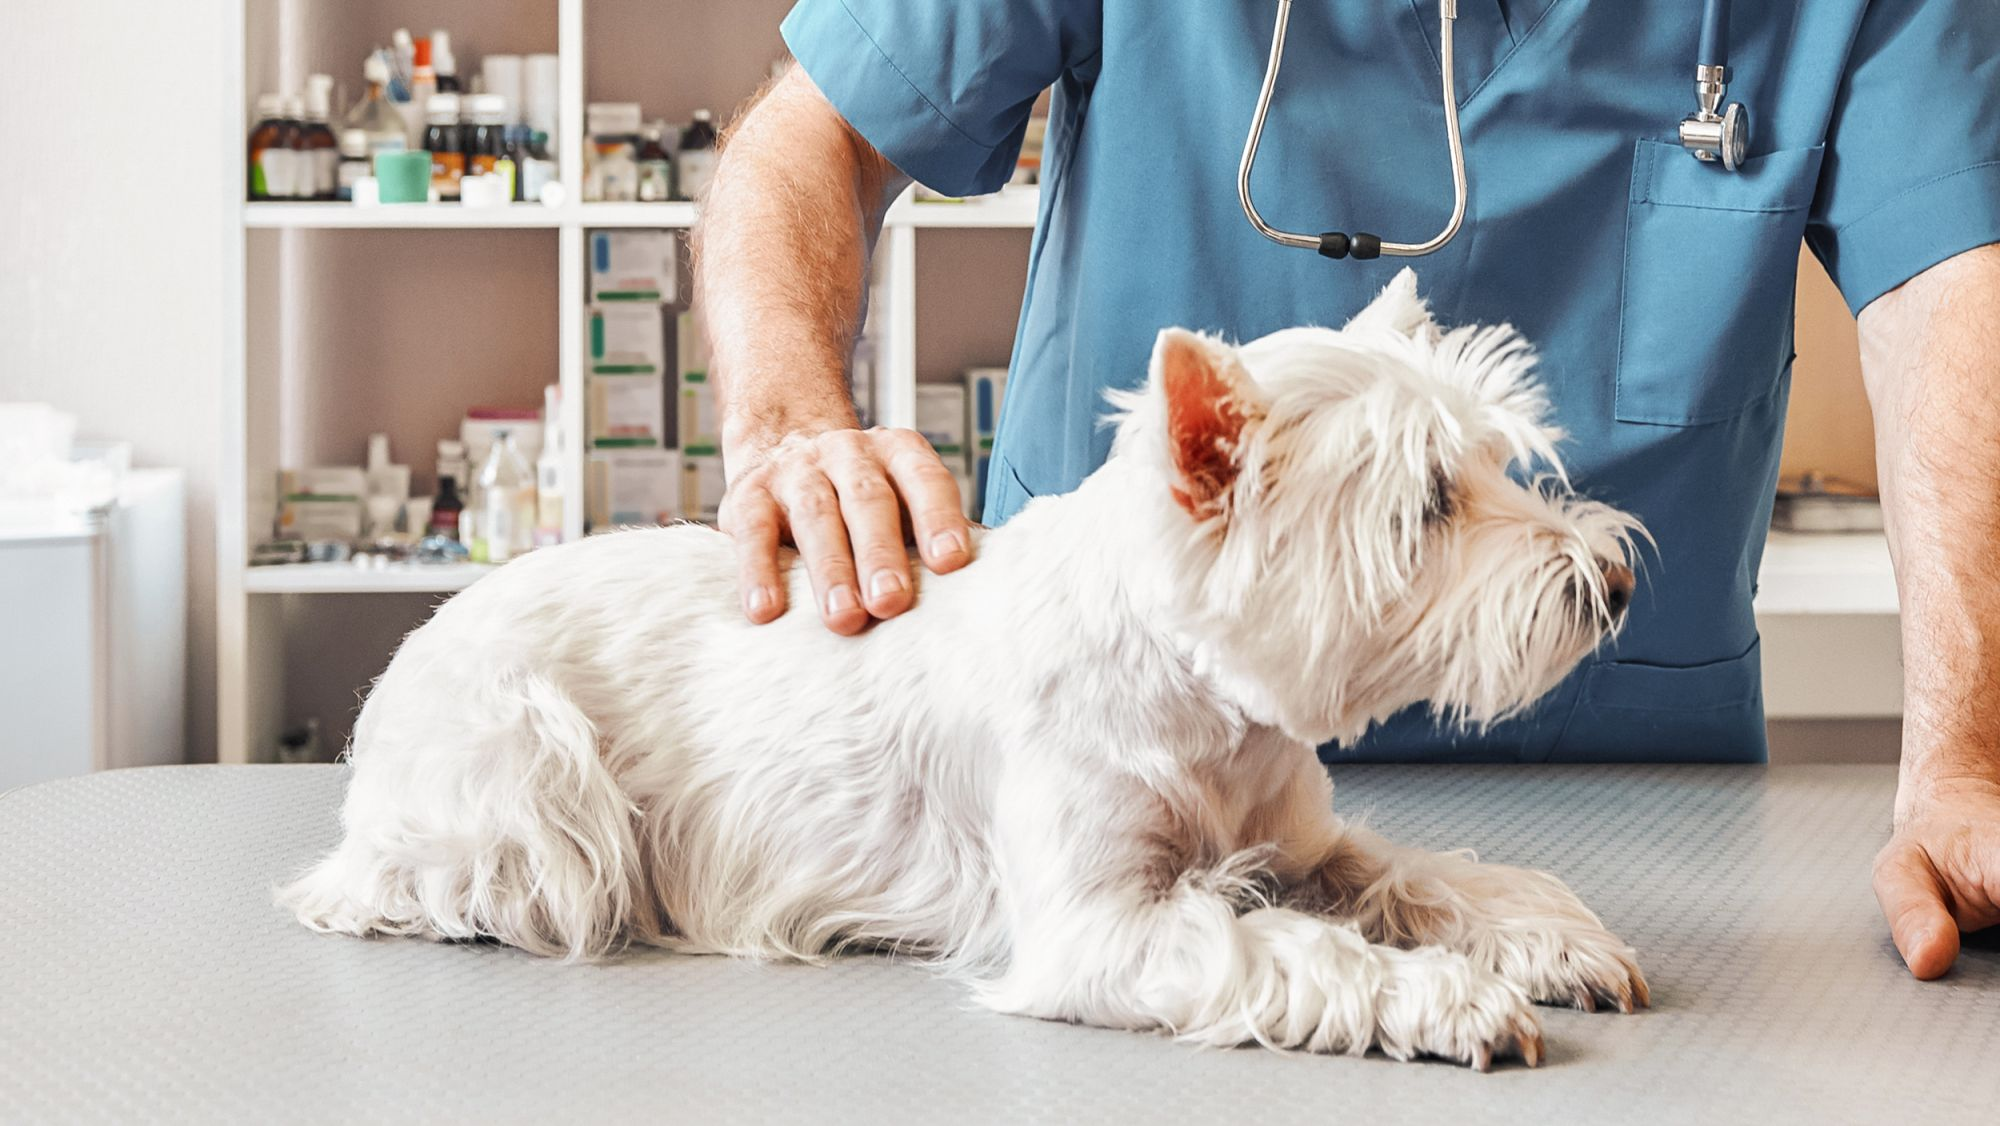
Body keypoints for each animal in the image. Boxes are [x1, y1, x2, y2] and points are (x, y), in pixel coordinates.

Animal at [290, 270, 1648, 1064]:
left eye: (1495, 465)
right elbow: (1292, 946)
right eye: (1425, 504)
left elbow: (1417, 877)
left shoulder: (1301, 839)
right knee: (461, 882)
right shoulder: (1100, 926)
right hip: (528, 775)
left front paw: (1550, 944)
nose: (1612, 581)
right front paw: (1452, 1002)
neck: (1204, 701)